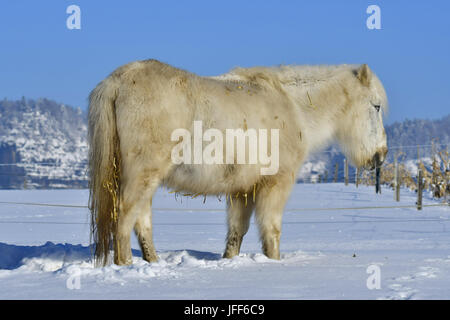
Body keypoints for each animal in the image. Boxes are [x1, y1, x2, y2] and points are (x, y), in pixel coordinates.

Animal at [88, 60, 386, 264]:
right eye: (376, 106)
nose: (381, 156)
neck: (294, 107)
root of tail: (118, 81)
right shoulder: (275, 183)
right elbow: (271, 230)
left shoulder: (242, 190)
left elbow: (236, 233)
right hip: (142, 175)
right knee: (124, 217)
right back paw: (126, 264)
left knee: (141, 221)